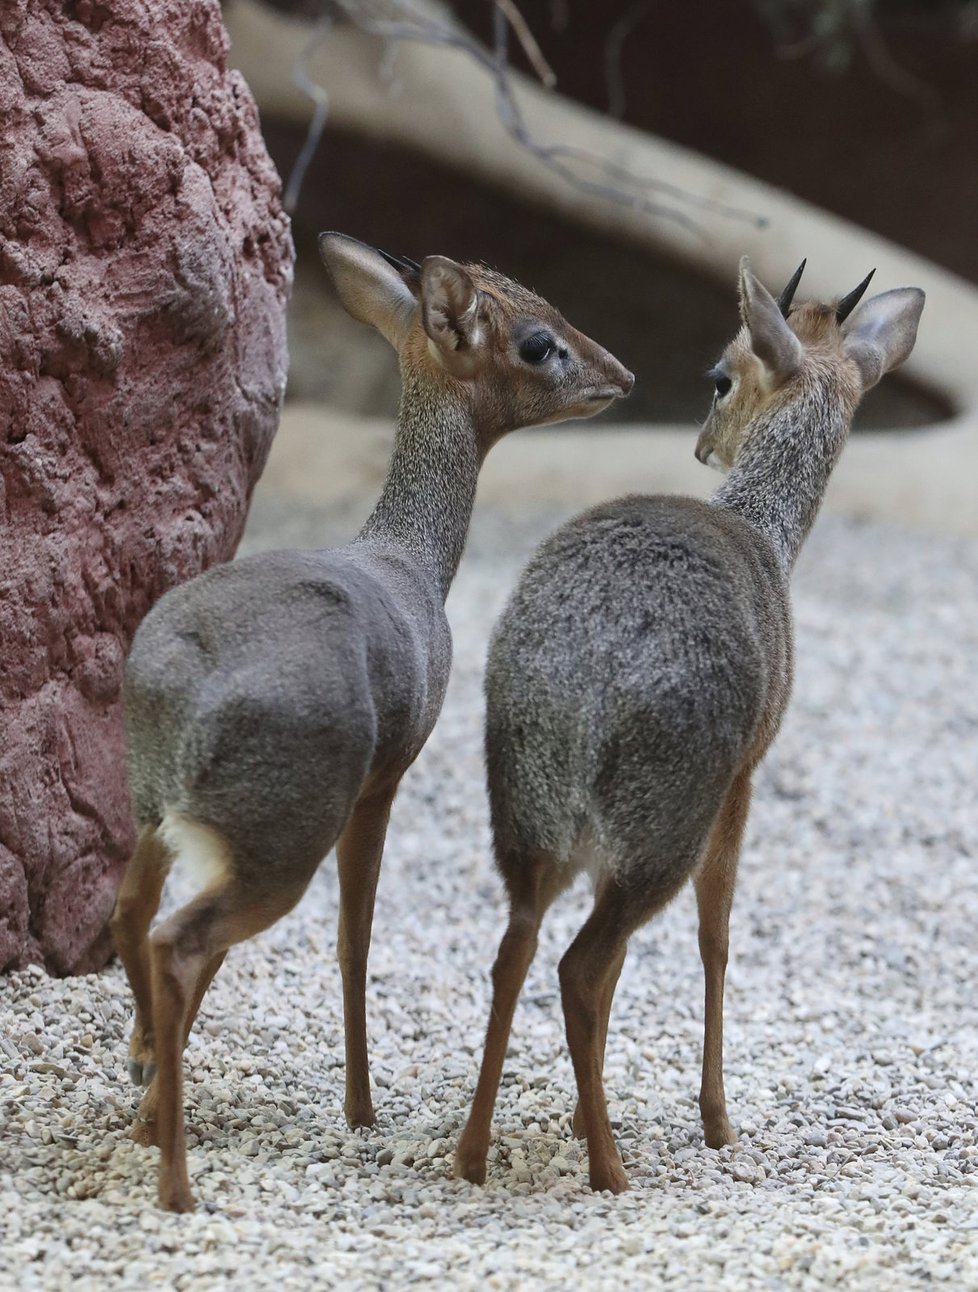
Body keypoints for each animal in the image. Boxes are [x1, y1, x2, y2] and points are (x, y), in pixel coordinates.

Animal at [112, 235, 633, 1209]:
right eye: (539, 343)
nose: (620, 373)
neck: (410, 560)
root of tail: (183, 687)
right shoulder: (386, 780)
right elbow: (358, 937)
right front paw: (361, 1109)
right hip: (279, 840)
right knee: (181, 942)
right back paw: (177, 1180)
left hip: (160, 817)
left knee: (133, 916)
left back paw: (143, 1083)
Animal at [454, 257, 919, 1193]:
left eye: (718, 378)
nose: (704, 445)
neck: (765, 536)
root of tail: (583, 679)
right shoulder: (745, 777)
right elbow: (717, 936)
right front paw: (717, 1119)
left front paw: (578, 1108)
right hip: (661, 827)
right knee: (580, 963)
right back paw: (609, 1168)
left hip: (536, 827)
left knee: (522, 950)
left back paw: (477, 1153)